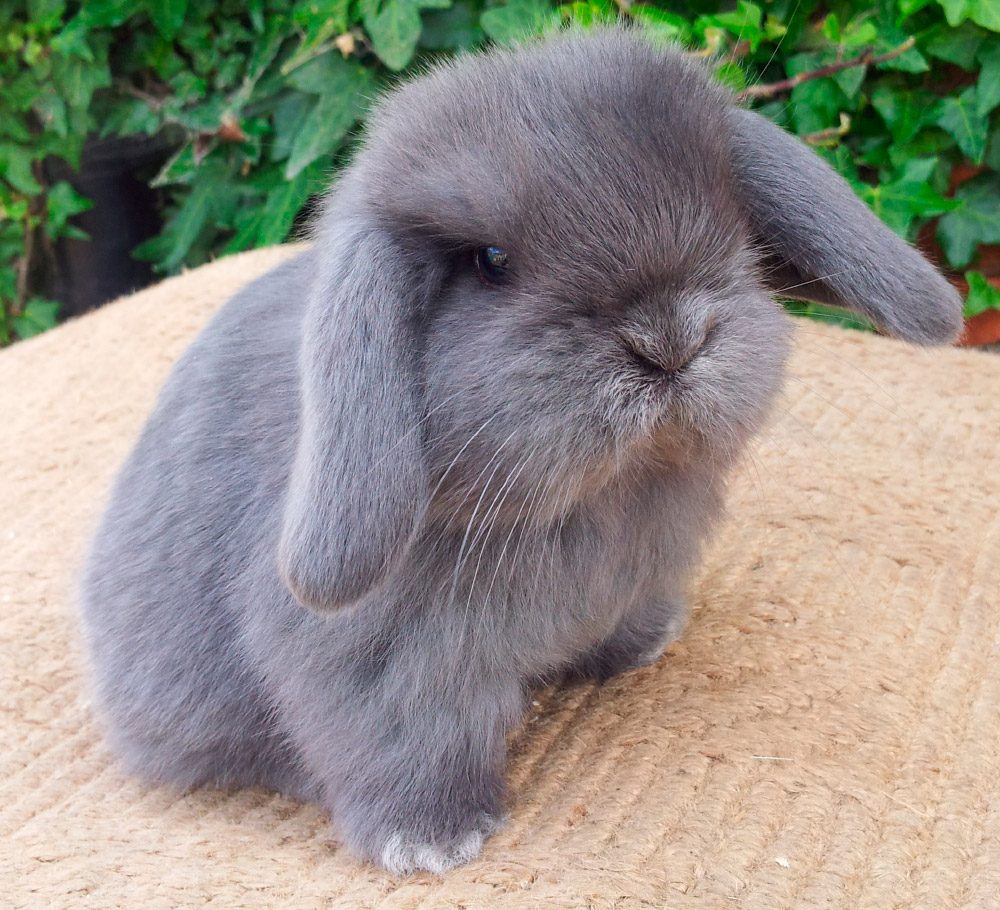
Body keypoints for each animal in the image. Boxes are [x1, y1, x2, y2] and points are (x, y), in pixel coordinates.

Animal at [82, 28, 964, 876]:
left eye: (728, 214)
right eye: (490, 263)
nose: (669, 341)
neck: (600, 500)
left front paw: (644, 642)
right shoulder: (384, 670)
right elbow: (404, 744)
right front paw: (429, 843)